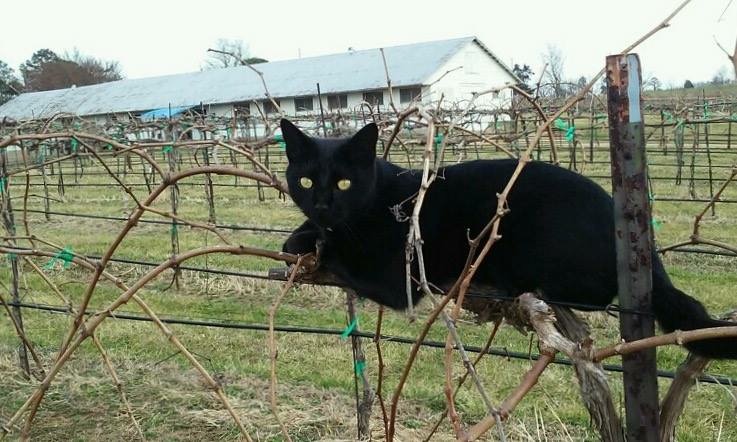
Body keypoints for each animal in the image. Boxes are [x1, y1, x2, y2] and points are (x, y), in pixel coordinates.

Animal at [280, 118, 736, 360]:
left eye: (343, 183)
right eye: (305, 181)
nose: (322, 205)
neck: (374, 200)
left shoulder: (397, 279)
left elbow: (343, 254)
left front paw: (307, 246)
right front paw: (301, 236)